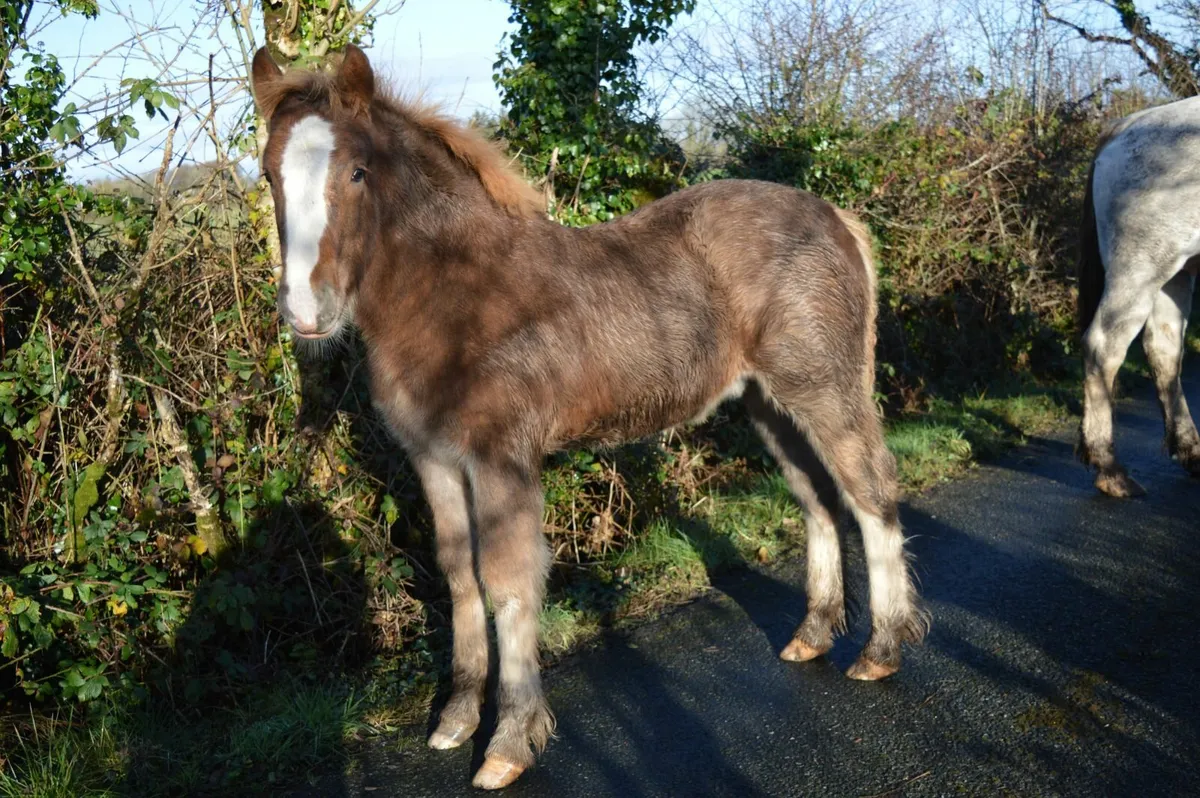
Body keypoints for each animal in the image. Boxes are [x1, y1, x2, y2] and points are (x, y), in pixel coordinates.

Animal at [250, 45, 927, 789]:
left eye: (357, 171)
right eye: (267, 173)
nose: (308, 312)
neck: (453, 294)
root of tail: (838, 217)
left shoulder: (502, 458)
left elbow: (509, 583)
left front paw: (510, 742)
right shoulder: (433, 459)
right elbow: (458, 574)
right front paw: (457, 718)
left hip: (823, 388)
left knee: (870, 493)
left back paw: (881, 649)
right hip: (768, 404)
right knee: (818, 500)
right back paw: (812, 635)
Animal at [1078, 96, 1200, 497]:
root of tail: (1128, 124)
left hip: (1174, 273)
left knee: (1164, 350)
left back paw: (1191, 451)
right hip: (1140, 268)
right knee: (1104, 348)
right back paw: (1110, 469)